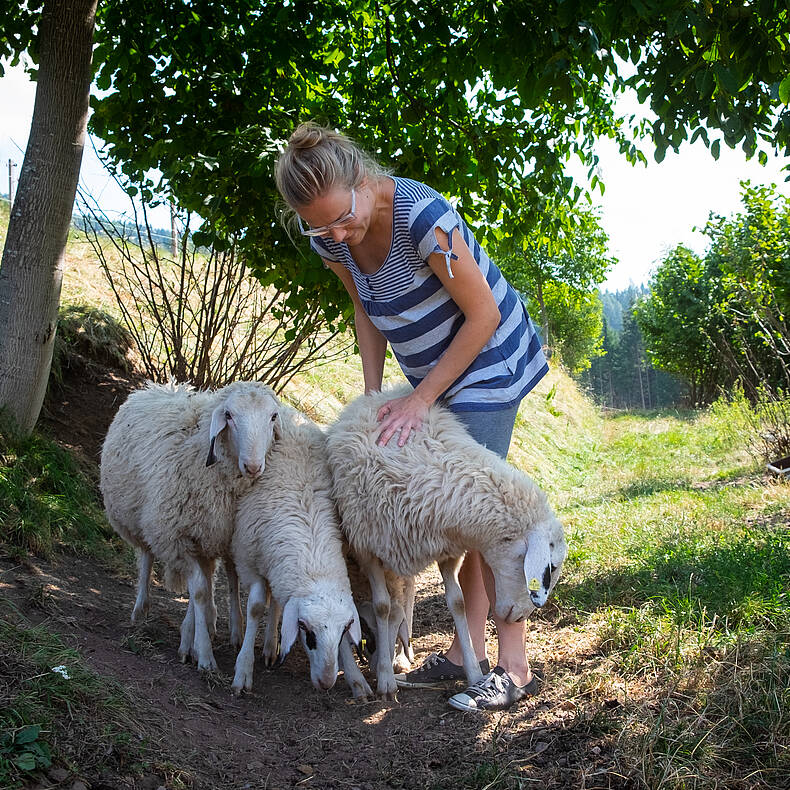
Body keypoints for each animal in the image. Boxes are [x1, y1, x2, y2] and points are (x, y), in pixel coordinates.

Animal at [100, 380, 284, 672]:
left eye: (273, 416)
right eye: (229, 415)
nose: (253, 466)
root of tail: (158, 387)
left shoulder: (214, 534)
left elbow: (205, 587)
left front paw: (194, 638)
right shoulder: (178, 537)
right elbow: (197, 591)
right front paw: (203, 653)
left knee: (221, 575)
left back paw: (222, 623)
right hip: (141, 517)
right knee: (146, 557)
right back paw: (141, 608)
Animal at [229, 408, 366, 700]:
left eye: (343, 633)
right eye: (305, 629)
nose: (326, 683)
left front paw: (356, 677)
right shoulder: (249, 561)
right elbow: (256, 607)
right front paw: (243, 670)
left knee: (278, 601)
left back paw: (271, 646)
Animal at [328, 390, 568, 700]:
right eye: (550, 568)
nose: (519, 618)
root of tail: (376, 395)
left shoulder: (447, 551)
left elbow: (458, 603)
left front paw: (474, 673)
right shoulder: (367, 547)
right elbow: (382, 607)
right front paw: (384, 679)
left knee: (406, 595)